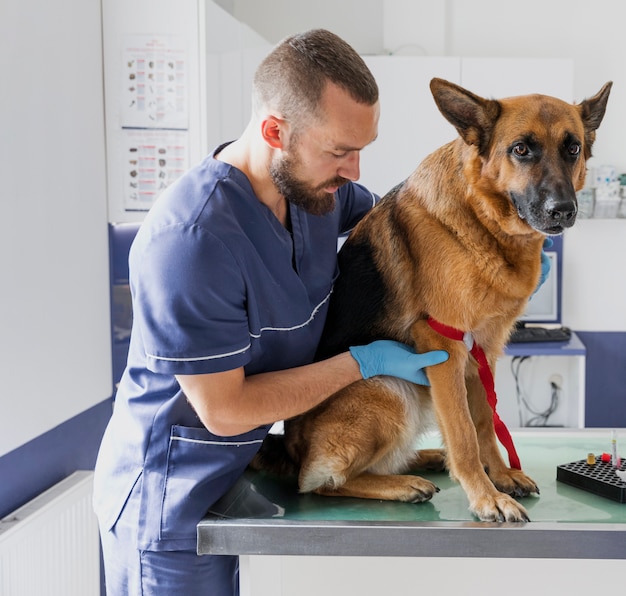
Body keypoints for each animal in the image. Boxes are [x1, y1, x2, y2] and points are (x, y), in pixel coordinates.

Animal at [250, 79, 608, 520]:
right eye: (521, 149)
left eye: (572, 148)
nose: (563, 210)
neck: (482, 222)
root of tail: (291, 448)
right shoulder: (446, 346)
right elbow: (464, 433)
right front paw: (486, 494)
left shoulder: (484, 353)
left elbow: (484, 423)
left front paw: (500, 475)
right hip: (391, 391)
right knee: (319, 482)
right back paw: (403, 483)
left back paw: (427, 459)